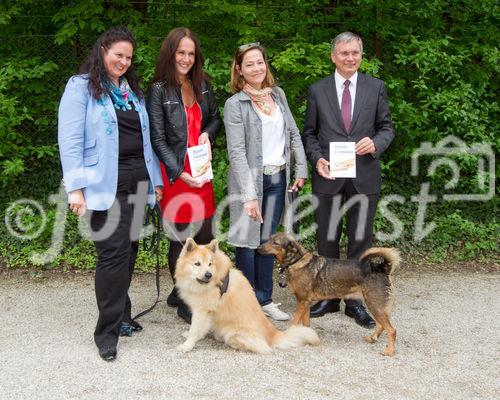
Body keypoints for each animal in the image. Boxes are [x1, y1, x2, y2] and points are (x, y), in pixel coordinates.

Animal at [174, 238, 318, 354]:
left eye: (210, 264)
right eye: (197, 263)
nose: (208, 275)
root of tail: (273, 335)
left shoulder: (202, 311)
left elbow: (195, 329)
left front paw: (187, 345)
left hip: (234, 332)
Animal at [260, 233, 400, 354]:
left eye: (275, 243)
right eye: (269, 239)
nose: (258, 247)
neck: (297, 261)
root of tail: (381, 268)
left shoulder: (302, 302)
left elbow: (294, 323)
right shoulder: (306, 303)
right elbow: (306, 323)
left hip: (375, 305)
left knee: (391, 330)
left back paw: (389, 351)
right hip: (377, 307)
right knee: (381, 326)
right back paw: (373, 338)